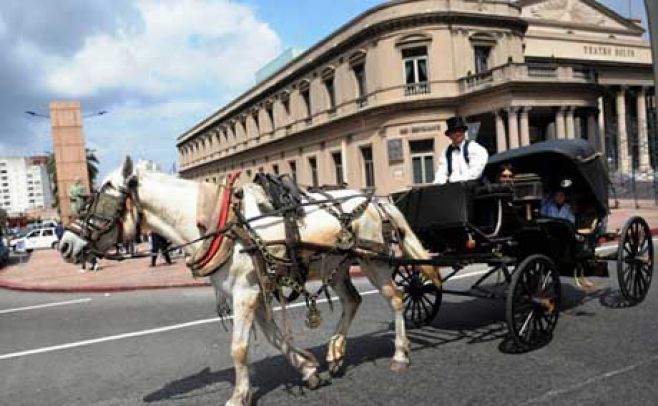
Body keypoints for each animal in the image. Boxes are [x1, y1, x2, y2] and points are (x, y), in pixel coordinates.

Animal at [59, 157, 438, 404]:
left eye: (100, 195)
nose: (65, 245)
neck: (221, 223)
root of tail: (376, 200)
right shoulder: (253, 290)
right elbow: (272, 337)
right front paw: (308, 369)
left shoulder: (245, 291)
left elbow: (239, 349)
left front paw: (239, 395)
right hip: (338, 264)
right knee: (352, 300)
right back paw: (334, 351)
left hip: (374, 261)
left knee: (395, 299)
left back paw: (399, 354)